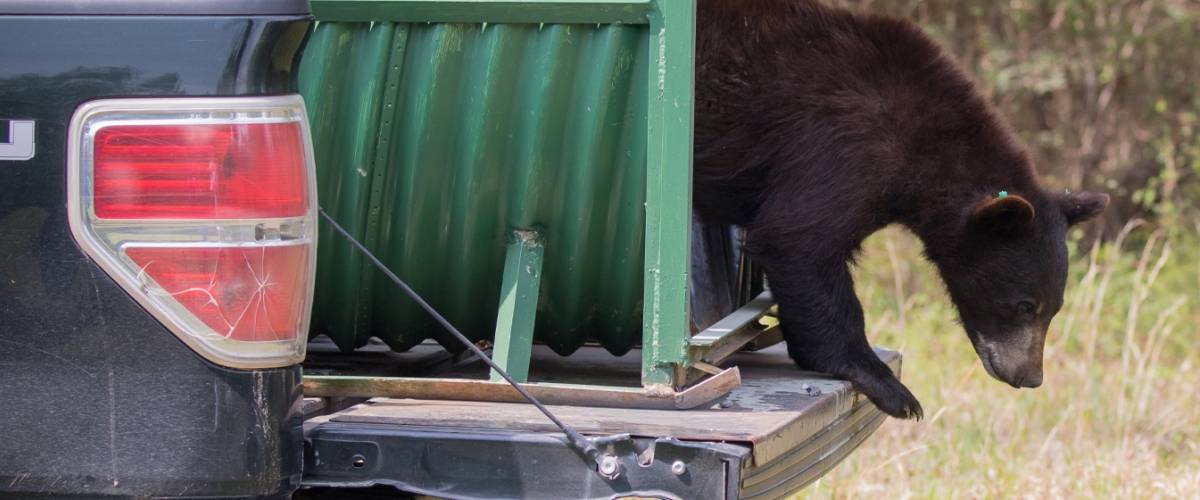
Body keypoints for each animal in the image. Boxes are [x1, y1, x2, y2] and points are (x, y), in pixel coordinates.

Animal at [693, 0, 1109, 419]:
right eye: (1025, 305)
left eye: (1055, 307)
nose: (1030, 376)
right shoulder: (841, 146)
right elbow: (795, 239)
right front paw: (889, 386)